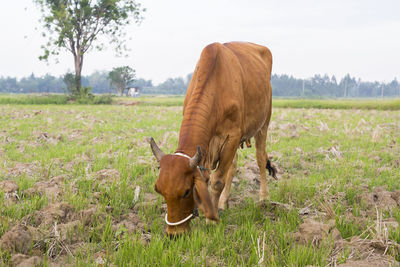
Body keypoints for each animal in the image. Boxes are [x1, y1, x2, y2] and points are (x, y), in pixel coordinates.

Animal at [148, 40, 276, 236]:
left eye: (186, 192)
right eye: (158, 190)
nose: (174, 234)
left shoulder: (232, 136)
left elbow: (217, 181)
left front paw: (212, 220)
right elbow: (211, 176)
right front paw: (213, 209)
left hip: (263, 124)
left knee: (261, 159)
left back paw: (264, 198)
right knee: (233, 166)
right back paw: (223, 203)